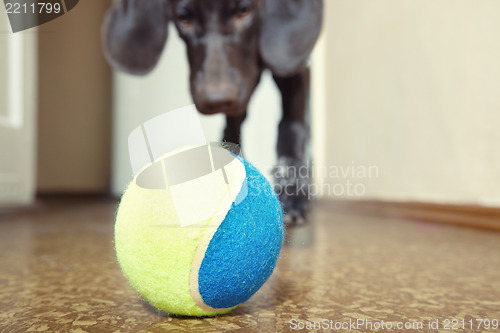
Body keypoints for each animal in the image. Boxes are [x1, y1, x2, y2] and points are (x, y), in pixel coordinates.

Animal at [101, 0, 324, 224]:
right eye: (183, 18)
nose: (216, 100)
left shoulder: (293, 67)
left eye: (244, 10)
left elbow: (291, 127)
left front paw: (294, 193)